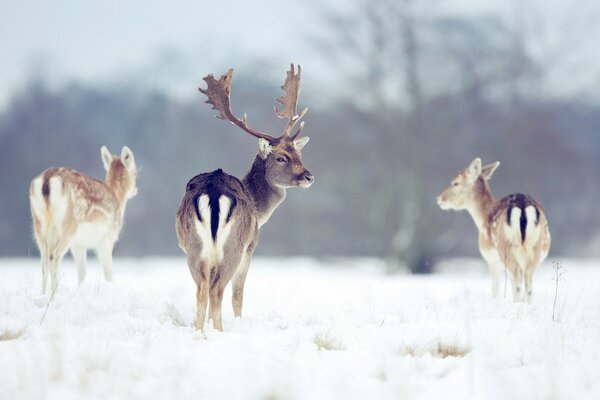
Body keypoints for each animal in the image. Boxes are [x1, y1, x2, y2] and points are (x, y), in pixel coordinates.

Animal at [30, 145, 137, 292]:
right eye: (135, 172)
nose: (135, 190)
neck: (118, 200)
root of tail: (47, 180)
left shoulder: (78, 244)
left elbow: (82, 272)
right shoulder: (107, 238)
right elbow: (108, 272)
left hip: (39, 224)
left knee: (44, 260)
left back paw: (43, 295)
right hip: (67, 226)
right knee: (54, 257)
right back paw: (54, 294)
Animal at [176, 64, 314, 332]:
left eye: (299, 153)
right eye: (280, 157)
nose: (308, 176)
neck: (259, 208)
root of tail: (214, 190)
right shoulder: (251, 248)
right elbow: (238, 295)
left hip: (193, 247)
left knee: (202, 290)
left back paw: (200, 333)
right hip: (234, 247)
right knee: (218, 290)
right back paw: (219, 332)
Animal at [436, 159, 552, 304]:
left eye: (455, 182)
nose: (439, 199)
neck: (483, 218)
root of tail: (523, 206)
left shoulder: (492, 260)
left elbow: (495, 288)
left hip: (506, 248)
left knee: (517, 279)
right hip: (536, 247)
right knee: (528, 280)